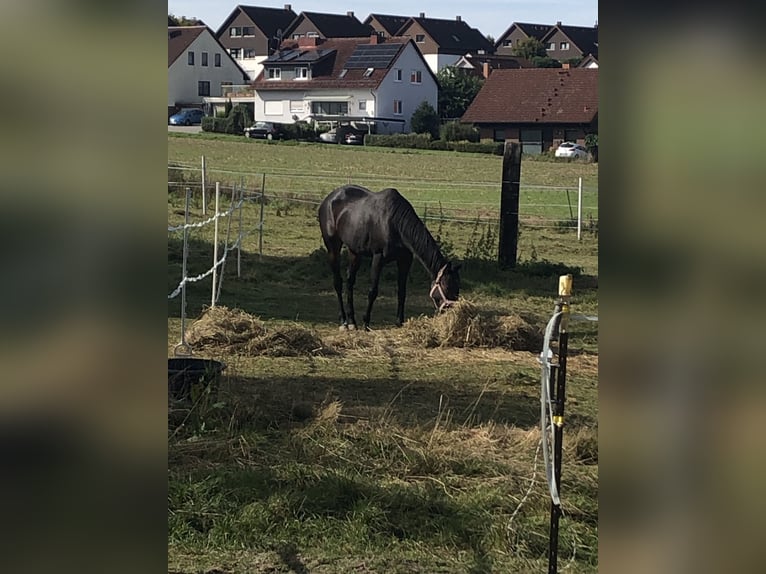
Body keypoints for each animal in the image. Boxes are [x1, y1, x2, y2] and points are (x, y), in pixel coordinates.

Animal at [318, 184, 461, 330]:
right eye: (447, 287)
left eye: (458, 287)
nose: (452, 313)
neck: (395, 223)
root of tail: (329, 199)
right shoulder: (378, 258)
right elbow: (373, 292)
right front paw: (366, 323)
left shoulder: (405, 260)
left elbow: (402, 292)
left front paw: (400, 322)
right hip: (333, 248)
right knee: (338, 282)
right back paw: (343, 322)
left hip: (355, 252)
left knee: (350, 282)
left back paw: (352, 321)